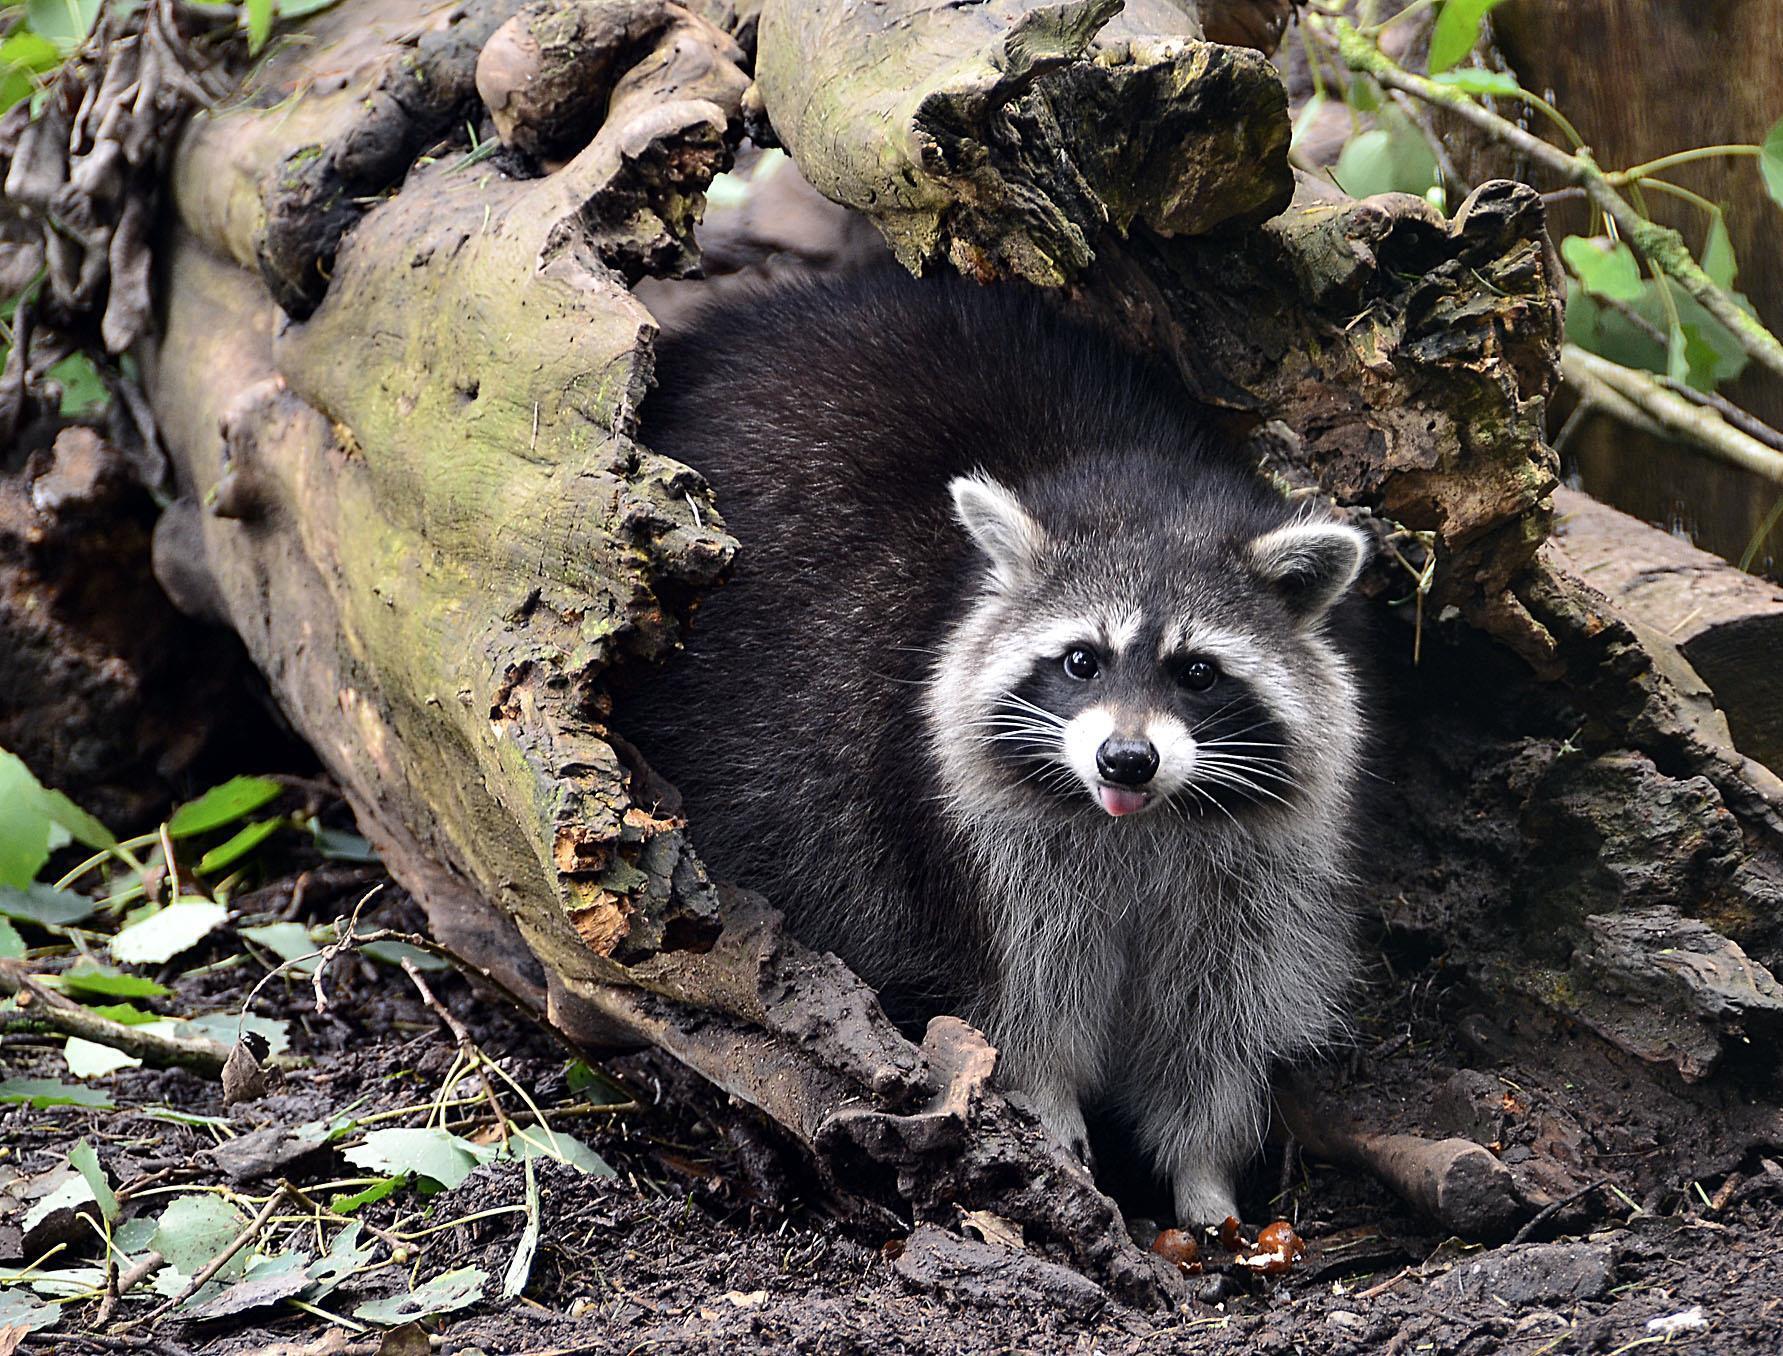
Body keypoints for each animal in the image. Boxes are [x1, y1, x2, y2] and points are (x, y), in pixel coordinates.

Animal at [620, 269, 1369, 1218]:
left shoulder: (1253, 878)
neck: (1136, 825)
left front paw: (1205, 1172)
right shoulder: (970, 846)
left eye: (1197, 673)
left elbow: (1215, 1025)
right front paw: (1049, 1115)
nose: (1126, 760)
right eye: (1082, 660)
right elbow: (1021, 1002)